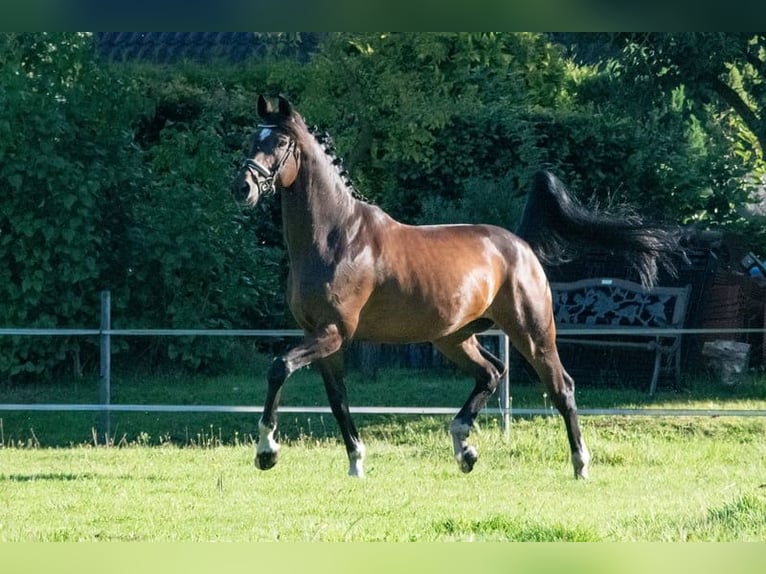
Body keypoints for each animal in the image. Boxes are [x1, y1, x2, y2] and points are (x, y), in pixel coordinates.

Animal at [236, 95, 684, 482]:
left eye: (279, 142)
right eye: (252, 139)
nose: (243, 188)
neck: (335, 238)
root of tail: (518, 245)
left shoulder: (332, 333)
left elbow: (279, 367)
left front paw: (267, 452)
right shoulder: (323, 337)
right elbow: (338, 399)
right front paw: (356, 463)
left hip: (532, 332)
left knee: (561, 387)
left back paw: (580, 464)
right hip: (454, 337)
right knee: (492, 372)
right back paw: (464, 449)